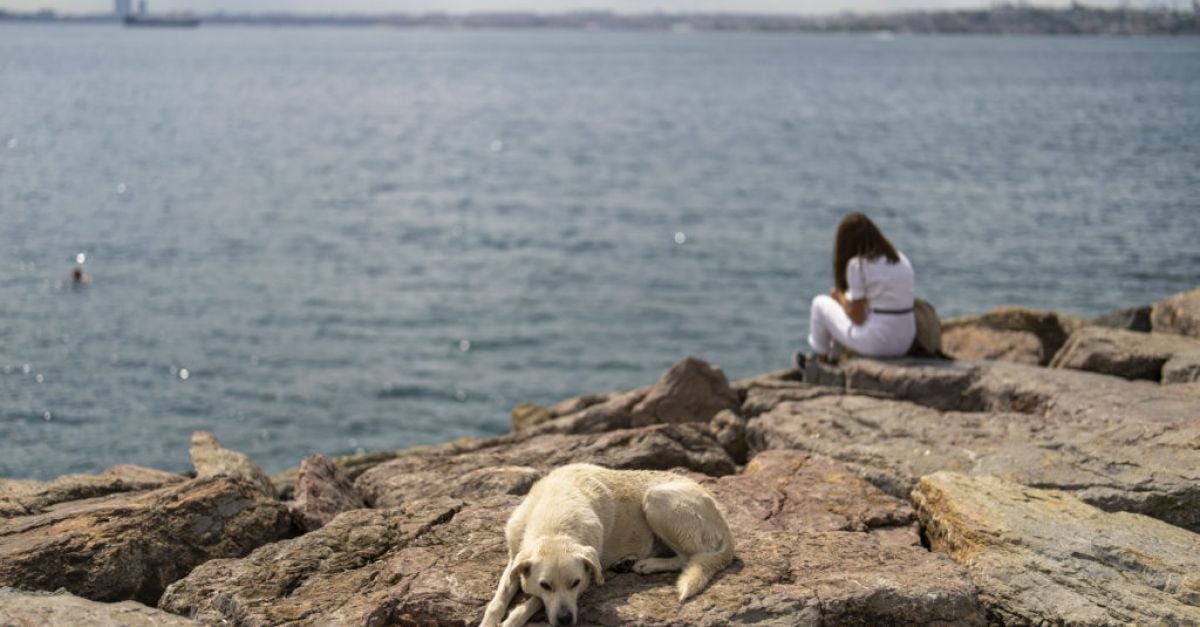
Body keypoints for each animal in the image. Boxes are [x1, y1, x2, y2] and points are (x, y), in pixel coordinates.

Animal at [477, 461, 729, 619]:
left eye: (576, 583)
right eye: (545, 585)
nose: (565, 620)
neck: (553, 521)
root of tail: (723, 519)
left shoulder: (586, 573)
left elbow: (530, 604)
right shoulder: (515, 559)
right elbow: (497, 602)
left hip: (657, 499)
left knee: (688, 557)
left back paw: (648, 564)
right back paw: (627, 561)